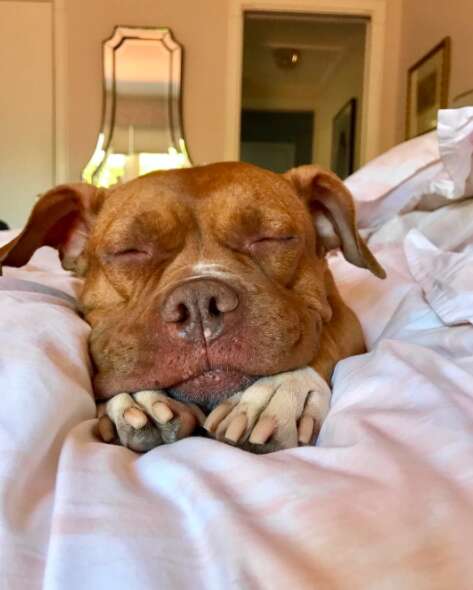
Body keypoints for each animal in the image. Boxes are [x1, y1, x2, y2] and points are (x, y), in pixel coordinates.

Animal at [0, 164, 384, 456]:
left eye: (272, 238)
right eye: (129, 251)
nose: (200, 301)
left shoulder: (348, 320)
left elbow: (326, 340)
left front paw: (279, 392)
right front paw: (139, 397)